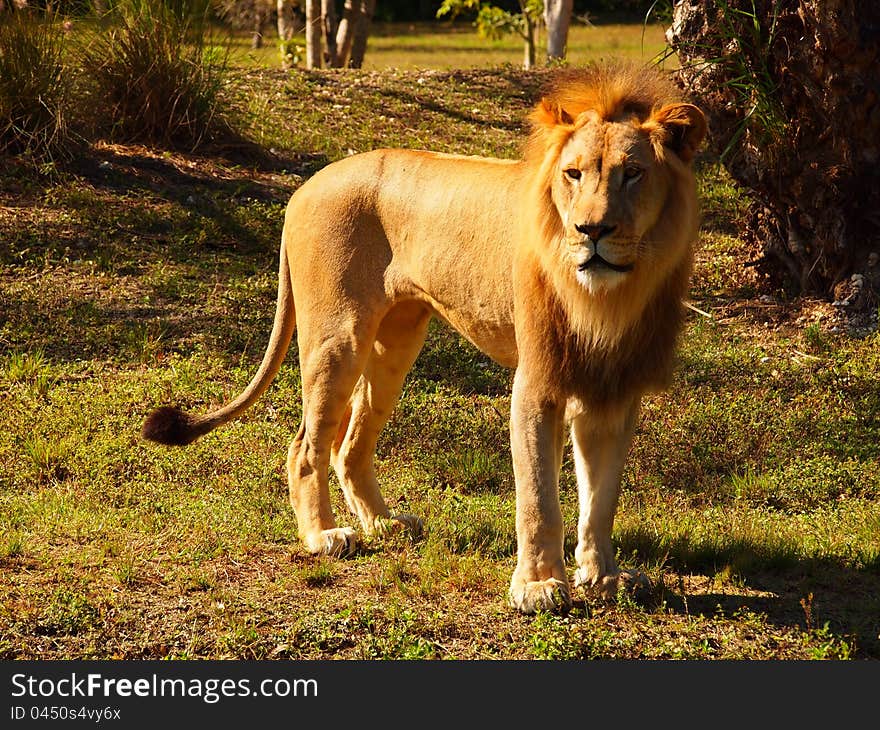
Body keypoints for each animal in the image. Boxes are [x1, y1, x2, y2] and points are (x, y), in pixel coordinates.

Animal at [144, 59, 708, 612]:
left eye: (632, 174)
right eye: (573, 174)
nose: (592, 231)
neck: (609, 298)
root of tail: (305, 187)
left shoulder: (614, 389)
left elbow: (601, 495)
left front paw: (605, 575)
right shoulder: (537, 382)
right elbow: (539, 496)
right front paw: (538, 586)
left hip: (395, 345)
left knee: (348, 445)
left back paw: (385, 524)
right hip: (337, 338)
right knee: (306, 445)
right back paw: (324, 536)